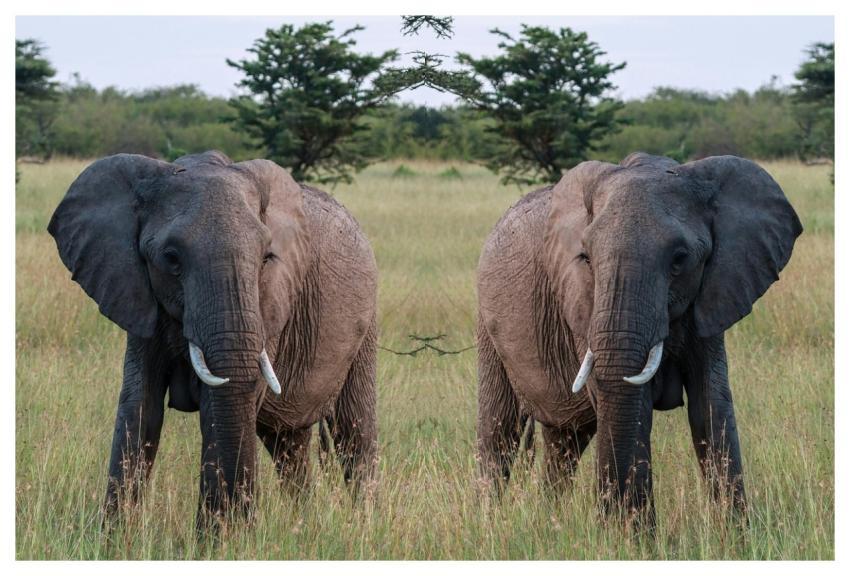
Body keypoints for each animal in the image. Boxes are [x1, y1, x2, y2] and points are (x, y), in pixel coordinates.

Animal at [48, 150, 378, 530]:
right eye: (171, 258)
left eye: (267, 258)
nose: (244, 521)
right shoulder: (138, 293)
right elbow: (140, 406)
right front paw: (115, 538)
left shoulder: (269, 304)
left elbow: (220, 408)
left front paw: (220, 539)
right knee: (288, 444)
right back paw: (301, 522)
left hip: (367, 324)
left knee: (354, 433)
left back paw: (366, 524)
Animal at [476, 153, 801, 524]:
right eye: (585, 258)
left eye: (680, 259)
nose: (607, 517)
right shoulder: (583, 303)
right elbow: (632, 406)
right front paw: (632, 536)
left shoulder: (712, 294)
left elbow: (711, 405)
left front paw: (734, 534)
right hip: (487, 324)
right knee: (499, 433)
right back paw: (487, 521)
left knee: (565, 442)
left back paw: (552, 520)